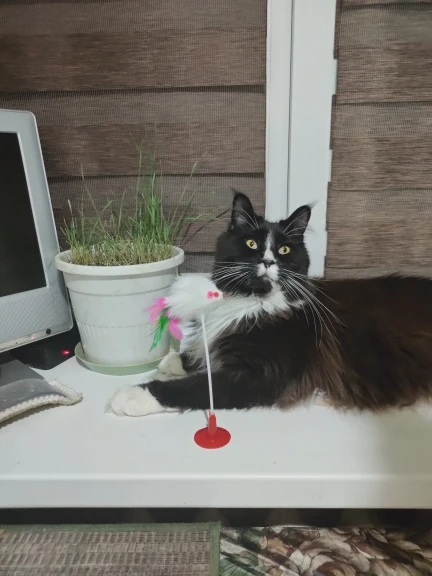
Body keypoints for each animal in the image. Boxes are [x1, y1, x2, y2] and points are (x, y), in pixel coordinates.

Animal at [109, 192, 432, 417]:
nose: (267, 261)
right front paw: (178, 360)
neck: (253, 302)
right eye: (251, 244)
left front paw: (133, 395)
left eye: (284, 249)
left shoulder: (261, 374)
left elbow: (198, 386)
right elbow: (201, 356)